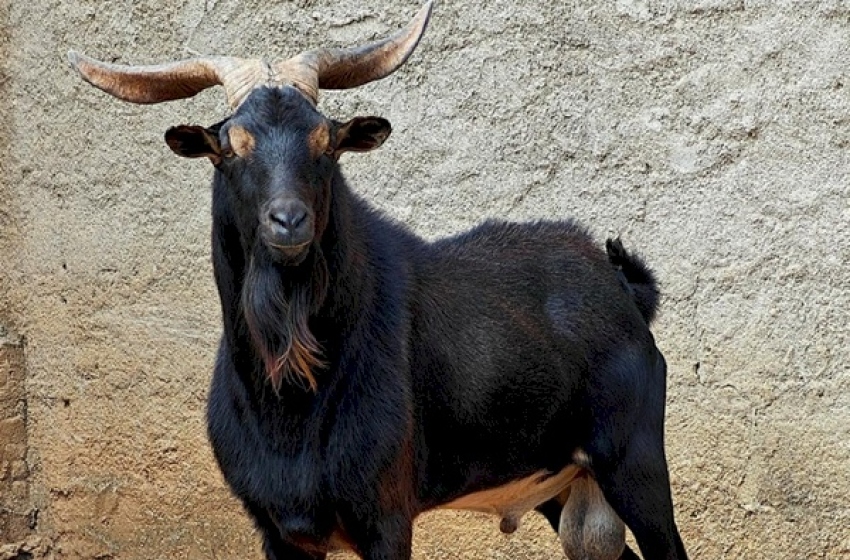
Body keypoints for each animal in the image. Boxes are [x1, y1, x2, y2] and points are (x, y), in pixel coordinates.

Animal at [69, 3, 688, 559]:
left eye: (325, 142)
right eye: (230, 147)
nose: (288, 221)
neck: (292, 396)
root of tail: (626, 291)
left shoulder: (386, 516)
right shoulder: (278, 528)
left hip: (633, 460)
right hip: (564, 487)